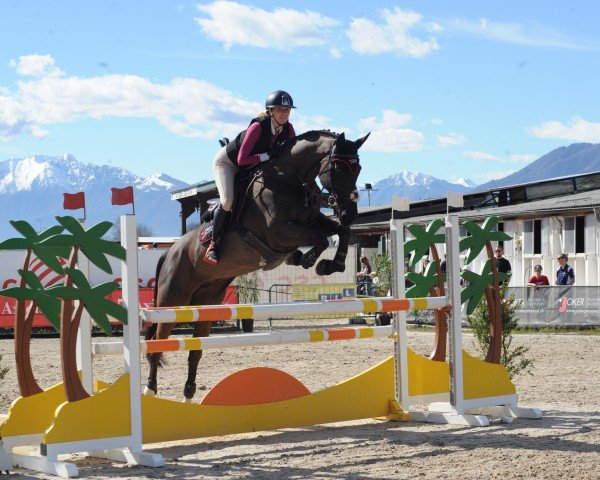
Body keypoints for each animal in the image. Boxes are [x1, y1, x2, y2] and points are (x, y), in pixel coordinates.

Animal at [146, 129, 370, 400]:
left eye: (358, 168)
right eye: (337, 167)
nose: (350, 212)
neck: (289, 178)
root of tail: (169, 252)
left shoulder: (312, 221)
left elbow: (341, 231)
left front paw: (330, 264)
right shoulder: (279, 232)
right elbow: (321, 238)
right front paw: (309, 260)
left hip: (207, 303)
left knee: (195, 350)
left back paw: (188, 393)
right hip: (172, 300)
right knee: (157, 342)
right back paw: (150, 389)